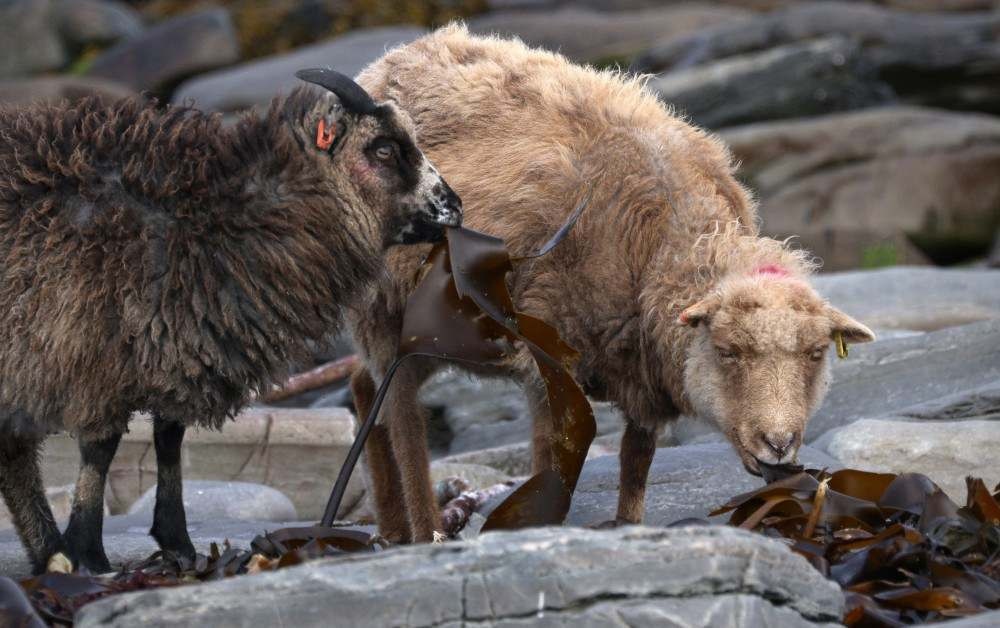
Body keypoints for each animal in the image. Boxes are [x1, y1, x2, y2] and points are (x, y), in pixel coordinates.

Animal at [0, 68, 460, 576]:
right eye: (383, 149)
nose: (454, 208)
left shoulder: (180, 348)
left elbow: (169, 438)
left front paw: (176, 543)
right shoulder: (94, 356)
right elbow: (101, 451)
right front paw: (90, 552)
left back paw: (48, 552)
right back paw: (56, 552)